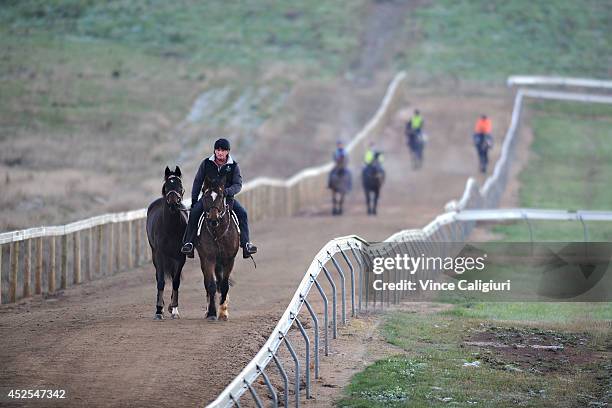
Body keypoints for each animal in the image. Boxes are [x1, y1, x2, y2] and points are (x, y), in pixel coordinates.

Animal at [146, 167, 186, 320]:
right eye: (167, 186)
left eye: (180, 186)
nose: (174, 204)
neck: (171, 228)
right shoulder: (160, 255)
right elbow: (161, 281)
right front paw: (159, 310)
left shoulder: (180, 257)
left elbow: (176, 281)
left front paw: (174, 309)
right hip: (154, 254)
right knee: (159, 277)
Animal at [196, 177, 239, 320]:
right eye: (205, 196)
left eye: (220, 196)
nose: (213, 219)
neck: (217, 233)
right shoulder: (209, 259)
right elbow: (211, 285)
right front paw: (211, 313)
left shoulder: (229, 260)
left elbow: (224, 285)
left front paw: (223, 311)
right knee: (209, 283)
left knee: (221, 282)